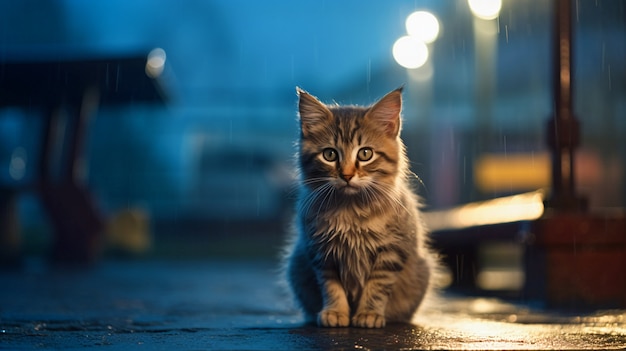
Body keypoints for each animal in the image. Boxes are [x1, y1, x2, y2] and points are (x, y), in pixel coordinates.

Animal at [284, 86, 434, 328]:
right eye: (329, 154)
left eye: (365, 154)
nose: (346, 175)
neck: (351, 210)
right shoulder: (322, 253)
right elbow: (331, 287)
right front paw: (335, 312)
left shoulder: (392, 252)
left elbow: (377, 286)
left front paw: (368, 314)